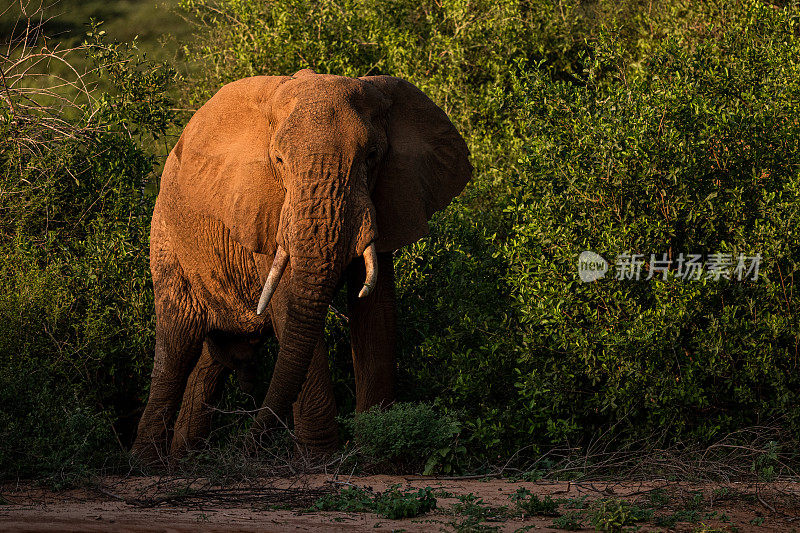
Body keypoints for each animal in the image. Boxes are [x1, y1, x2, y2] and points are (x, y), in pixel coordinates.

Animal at [128, 69, 472, 462]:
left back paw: (184, 459)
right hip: (166, 238)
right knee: (176, 347)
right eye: (278, 160)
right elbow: (289, 301)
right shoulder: (266, 209)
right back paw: (146, 464)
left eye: (372, 156)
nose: (246, 448)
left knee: (212, 361)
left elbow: (377, 311)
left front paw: (376, 448)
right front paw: (318, 458)